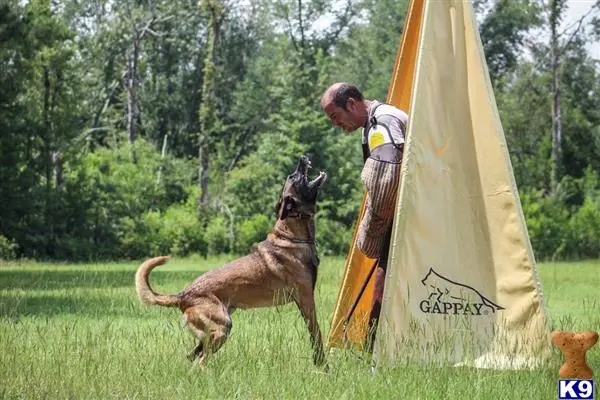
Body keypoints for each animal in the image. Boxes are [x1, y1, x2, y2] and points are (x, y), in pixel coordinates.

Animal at [135, 155, 328, 366]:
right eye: (293, 176)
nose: (302, 157)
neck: (292, 235)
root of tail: (183, 295)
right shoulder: (306, 299)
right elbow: (316, 336)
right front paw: (322, 365)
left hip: (211, 332)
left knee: (192, 358)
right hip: (221, 327)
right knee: (200, 361)